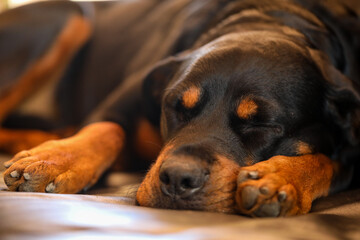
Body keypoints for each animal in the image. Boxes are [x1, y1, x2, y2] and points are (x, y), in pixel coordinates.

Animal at [0, 0, 360, 217]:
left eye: (262, 124)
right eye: (176, 107)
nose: (177, 178)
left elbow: (332, 163)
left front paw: (282, 178)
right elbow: (106, 128)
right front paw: (54, 159)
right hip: (69, 15)